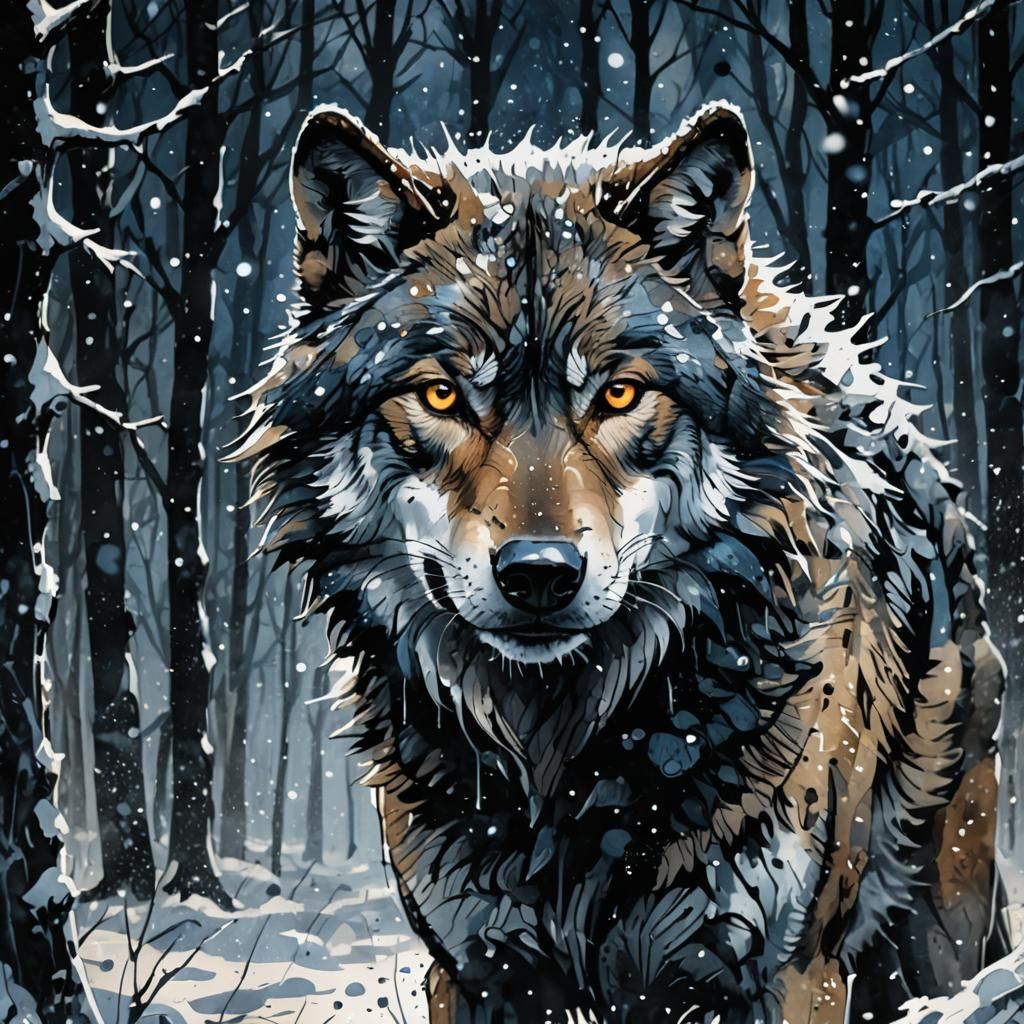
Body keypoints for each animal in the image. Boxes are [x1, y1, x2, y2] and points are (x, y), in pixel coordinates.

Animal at [237, 102, 1005, 1023]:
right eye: (443, 395)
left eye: (618, 393)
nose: (539, 572)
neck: (564, 758)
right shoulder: (475, 970)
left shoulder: (785, 974)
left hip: (936, 935)